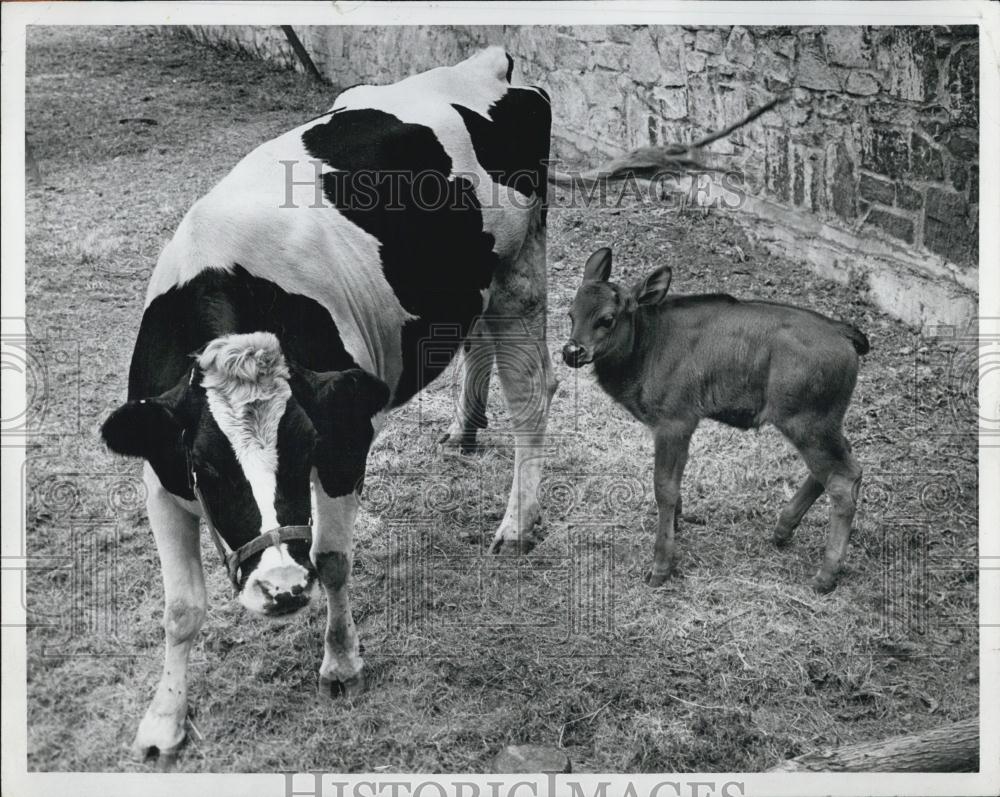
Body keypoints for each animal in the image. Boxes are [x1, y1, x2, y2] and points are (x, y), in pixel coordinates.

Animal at [103, 48, 556, 760]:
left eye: (303, 448)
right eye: (206, 468)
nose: (282, 591)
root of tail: (486, 64)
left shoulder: (345, 438)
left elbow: (334, 560)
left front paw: (341, 664)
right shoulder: (160, 469)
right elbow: (180, 609)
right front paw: (163, 721)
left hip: (519, 272)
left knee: (533, 397)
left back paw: (517, 522)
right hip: (469, 288)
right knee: (475, 344)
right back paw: (463, 428)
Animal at [564, 247, 868, 592]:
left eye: (607, 318)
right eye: (571, 314)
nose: (571, 351)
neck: (647, 347)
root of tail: (847, 335)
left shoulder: (676, 420)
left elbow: (664, 487)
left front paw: (660, 566)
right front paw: (677, 523)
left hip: (805, 421)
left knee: (844, 478)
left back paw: (825, 575)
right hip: (824, 421)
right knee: (840, 459)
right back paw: (782, 530)